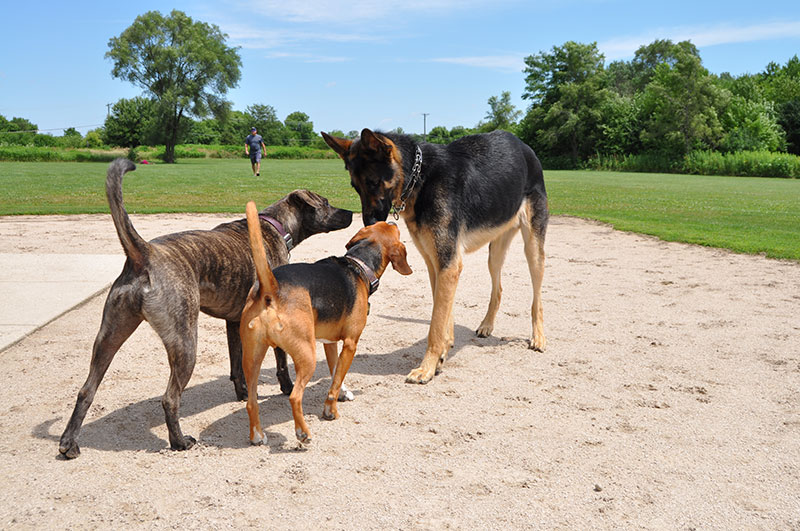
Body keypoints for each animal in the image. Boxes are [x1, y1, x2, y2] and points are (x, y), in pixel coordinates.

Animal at [57, 157, 352, 458]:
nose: (351, 212)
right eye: (326, 202)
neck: (275, 226)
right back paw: (179, 441)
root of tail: (144, 253)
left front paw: (243, 393)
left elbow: (236, 366)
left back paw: (69, 443)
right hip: (185, 343)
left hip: (109, 337)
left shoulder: (234, 322)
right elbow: (281, 362)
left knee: (86, 390)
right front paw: (286, 387)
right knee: (169, 398)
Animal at [241, 202, 410, 446]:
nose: (392, 220)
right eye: (393, 230)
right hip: (306, 356)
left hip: (252, 358)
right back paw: (303, 433)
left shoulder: (330, 343)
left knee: (251, 401)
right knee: (295, 397)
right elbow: (336, 380)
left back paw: (257, 435)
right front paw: (331, 410)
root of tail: (271, 288)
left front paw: (342, 393)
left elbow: (335, 373)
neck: (358, 265)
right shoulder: (350, 343)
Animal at [322, 129, 548, 386]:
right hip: (495, 253)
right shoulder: (436, 266)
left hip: (533, 250)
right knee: (498, 288)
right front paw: (442, 354)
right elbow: (443, 317)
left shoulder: (448, 265)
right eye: (355, 186)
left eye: (373, 182)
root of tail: (524, 147)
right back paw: (487, 325)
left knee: (537, 298)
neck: (420, 177)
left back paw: (538, 337)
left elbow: (436, 323)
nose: (369, 223)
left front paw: (427, 367)